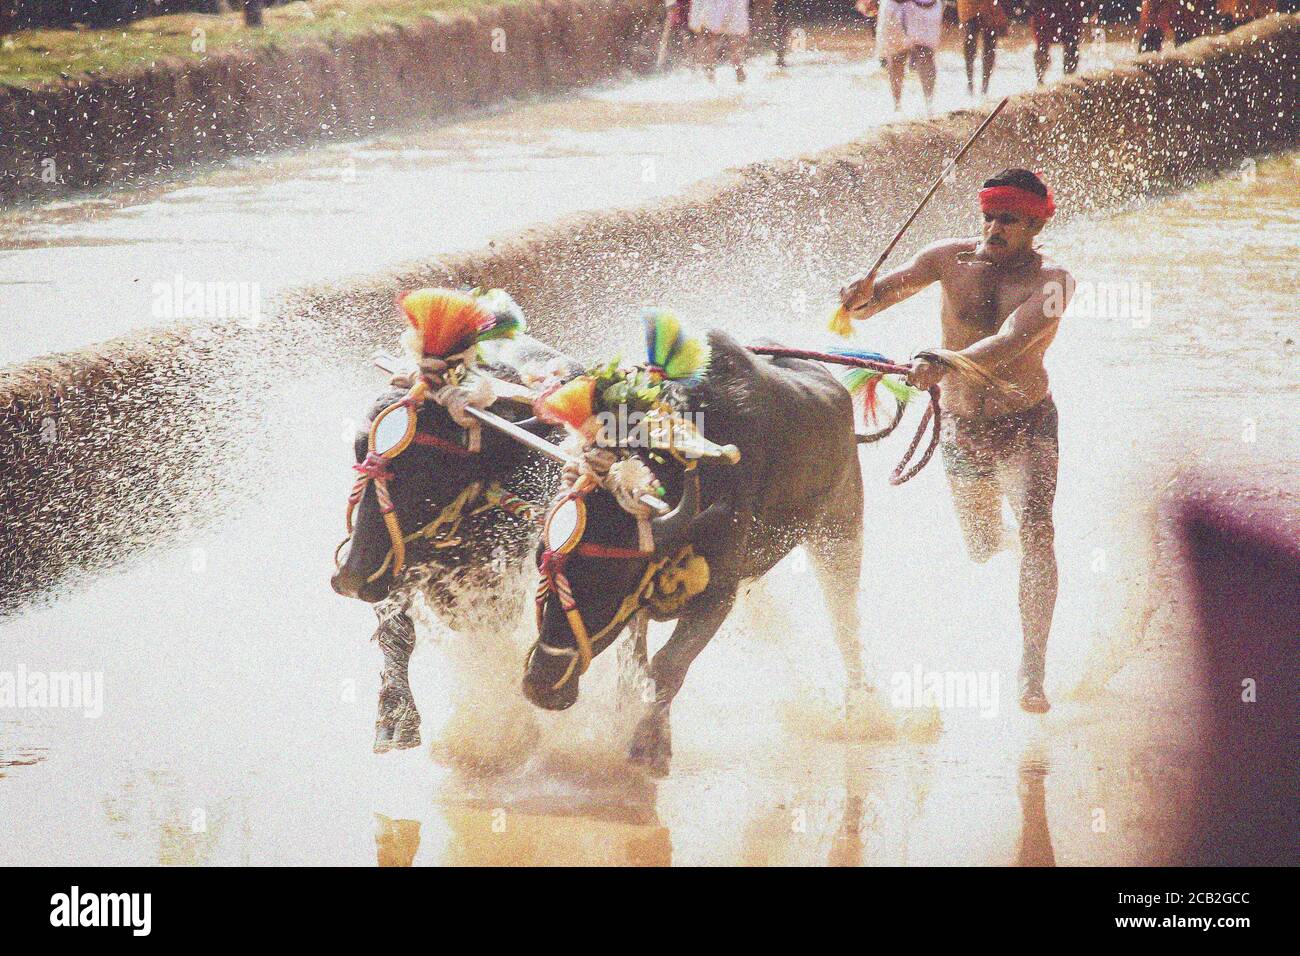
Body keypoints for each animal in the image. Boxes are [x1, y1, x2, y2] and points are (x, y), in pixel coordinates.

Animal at [522, 335, 868, 780]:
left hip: (840, 531)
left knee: (844, 616)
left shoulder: (717, 595)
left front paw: (650, 746)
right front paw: (626, 720)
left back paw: (862, 704)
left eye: (605, 585)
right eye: (541, 564)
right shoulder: (643, 600)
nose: (540, 684)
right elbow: (634, 664)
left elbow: (668, 664)